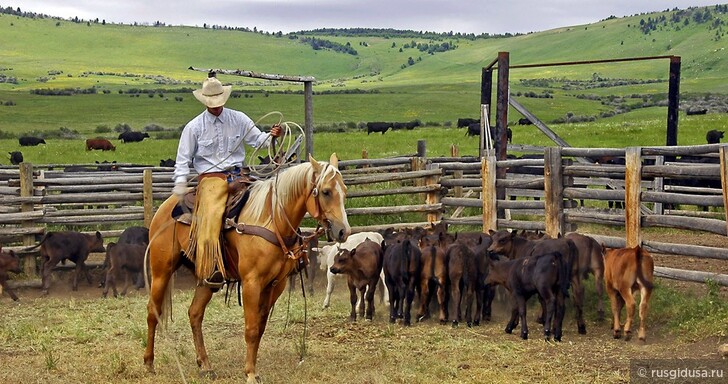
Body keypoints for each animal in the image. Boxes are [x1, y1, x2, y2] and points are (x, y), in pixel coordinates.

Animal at [144, 154, 350, 384]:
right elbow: (251, 329)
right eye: (326, 191)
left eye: (344, 190)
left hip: (207, 278)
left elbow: (260, 327)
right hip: (161, 271)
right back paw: (149, 363)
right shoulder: (252, 282)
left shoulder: (276, 284)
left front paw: (253, 368)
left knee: (195, 313)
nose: (343, 231)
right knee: (153, 311)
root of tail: (165, 208)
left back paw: (205, 365)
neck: (272, 219)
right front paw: (250, 373)